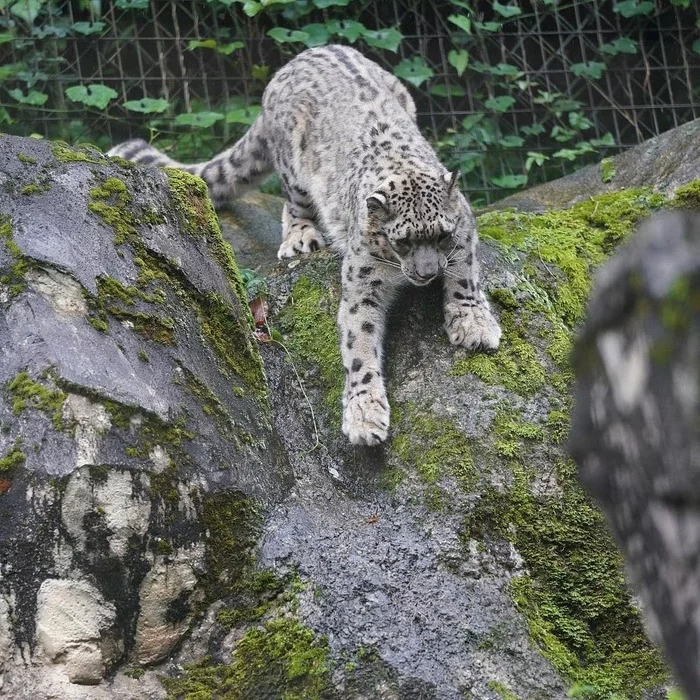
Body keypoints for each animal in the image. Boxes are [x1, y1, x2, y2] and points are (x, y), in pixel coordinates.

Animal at [109, 43, 500, 446]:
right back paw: (300, 238)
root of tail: (297, 59)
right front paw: (365, 415)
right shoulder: (363, 281)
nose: (427, 273)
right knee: (291, 204)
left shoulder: (464, 227)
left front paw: (473, 323)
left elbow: (465, 273)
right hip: (293, 168)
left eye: (442, 235)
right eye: (402, 241)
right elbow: (360, 342)